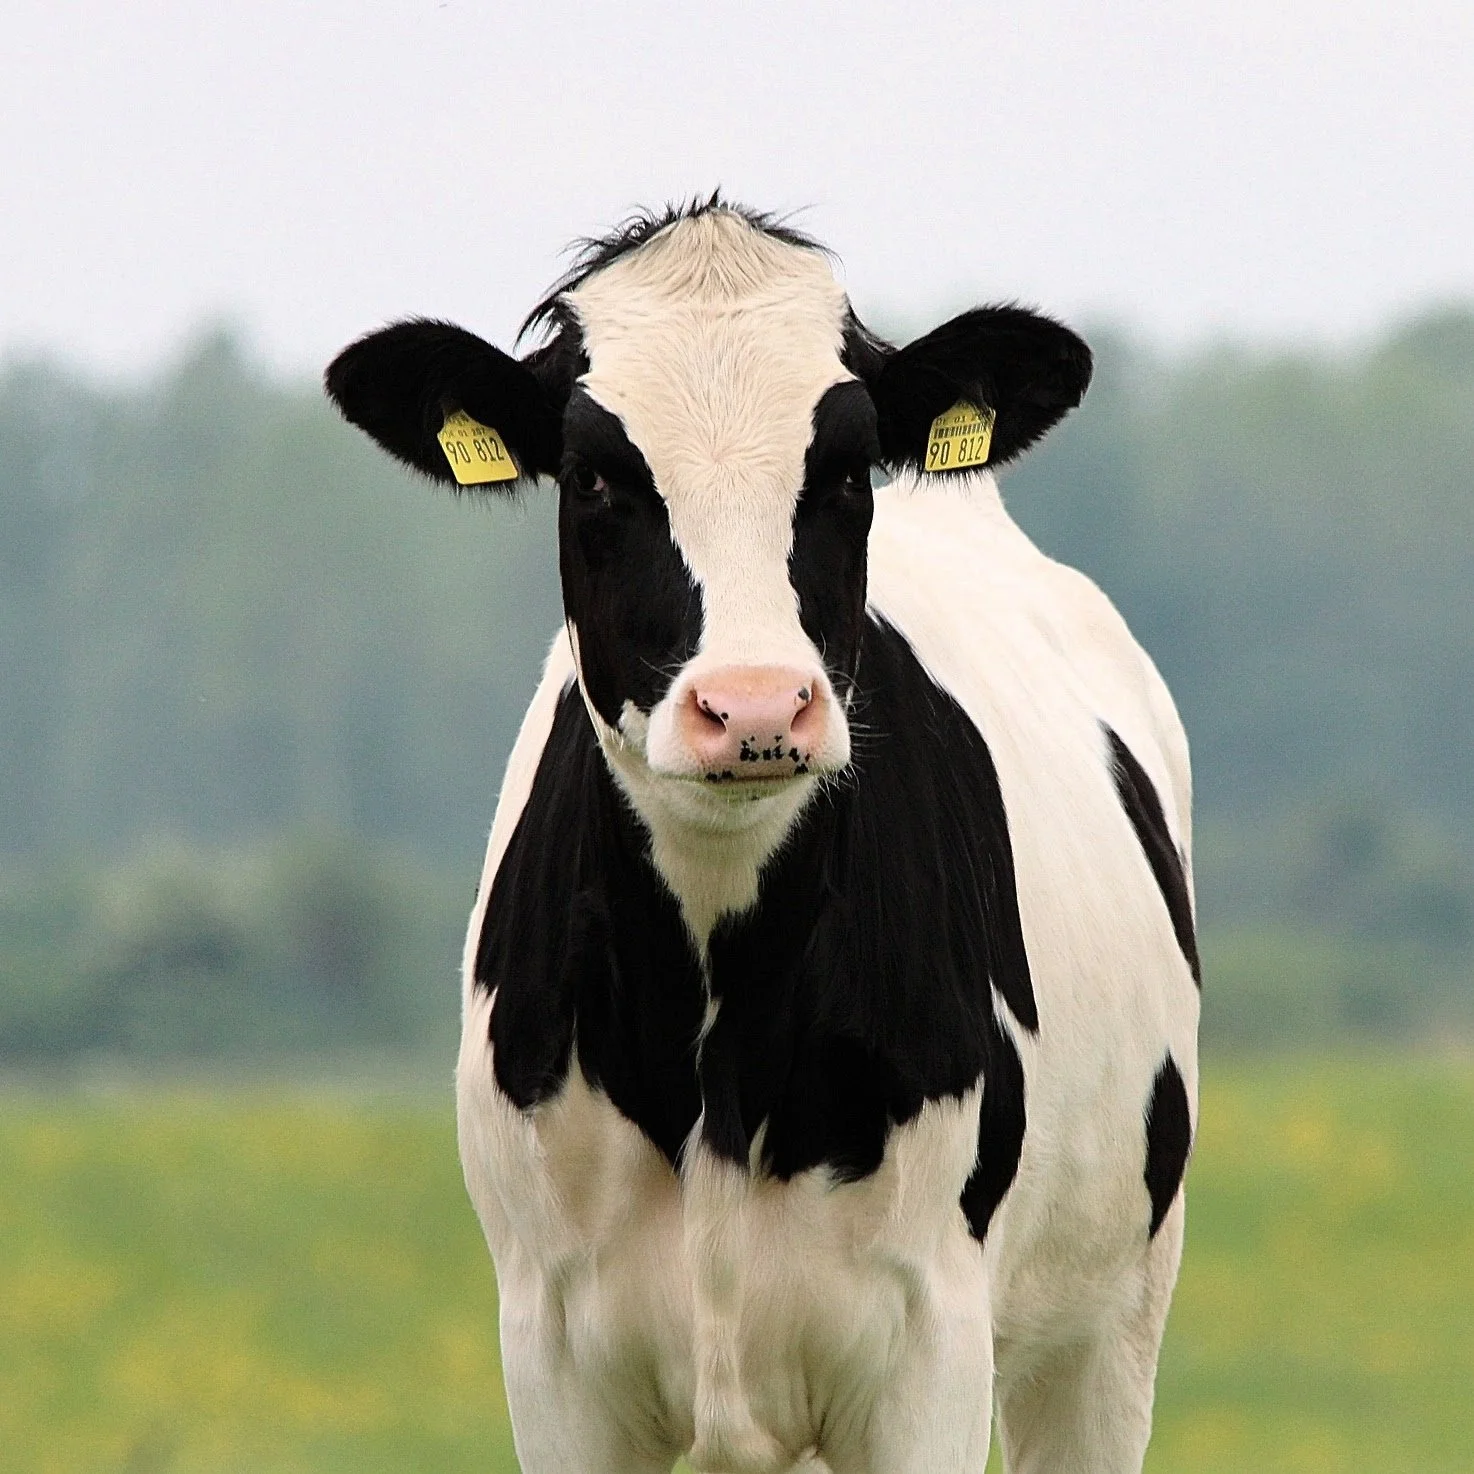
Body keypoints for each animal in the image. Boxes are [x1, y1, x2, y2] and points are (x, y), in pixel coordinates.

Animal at [325, 196, 1199, 1474]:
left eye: (842, 469)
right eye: (593, 475)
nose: (751, 706)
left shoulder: (929, 1348)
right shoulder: (551, 1355)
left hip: (1110, 1321)